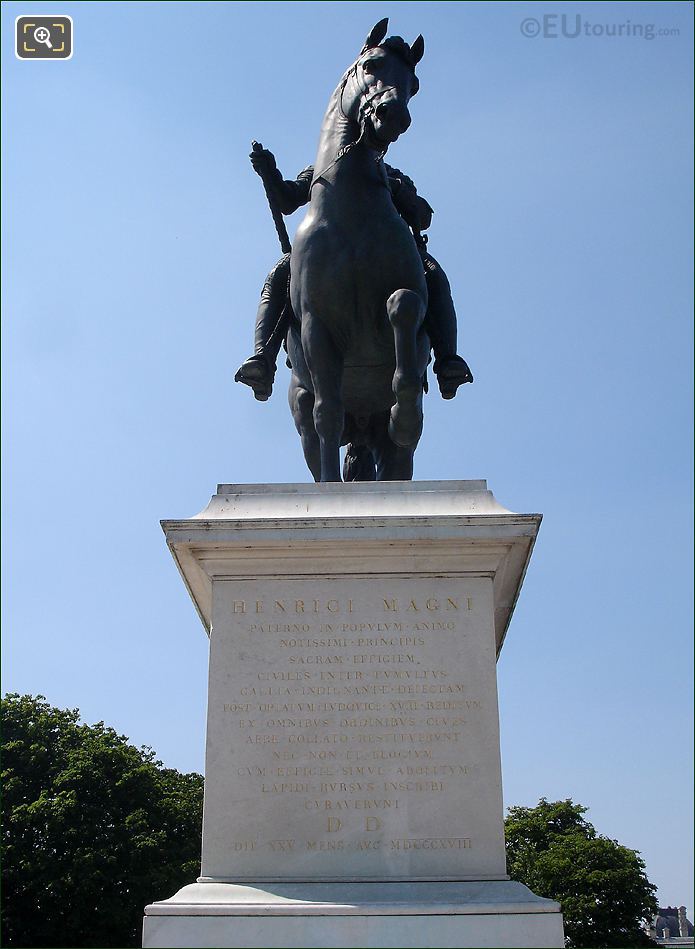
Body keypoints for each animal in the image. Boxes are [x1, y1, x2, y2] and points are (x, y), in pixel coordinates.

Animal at [288, 22, 430, 482]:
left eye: (414, 85)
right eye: (371, 65)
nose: (392, 115)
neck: (350, 212)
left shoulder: (414, 306)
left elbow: (403, 303)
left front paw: (404, 413)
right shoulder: (316, 326)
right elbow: (327, 413)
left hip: (383, 437)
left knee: (397, 456)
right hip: (300, 403)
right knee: (316, 432)